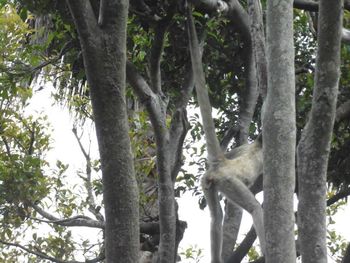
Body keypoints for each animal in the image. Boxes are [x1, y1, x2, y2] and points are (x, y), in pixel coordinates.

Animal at [186, 4, 266, 263]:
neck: (257, 145)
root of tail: (221, 165)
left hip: (209, 182)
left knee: (216, 218)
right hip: (229, 181)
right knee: (255, 209)